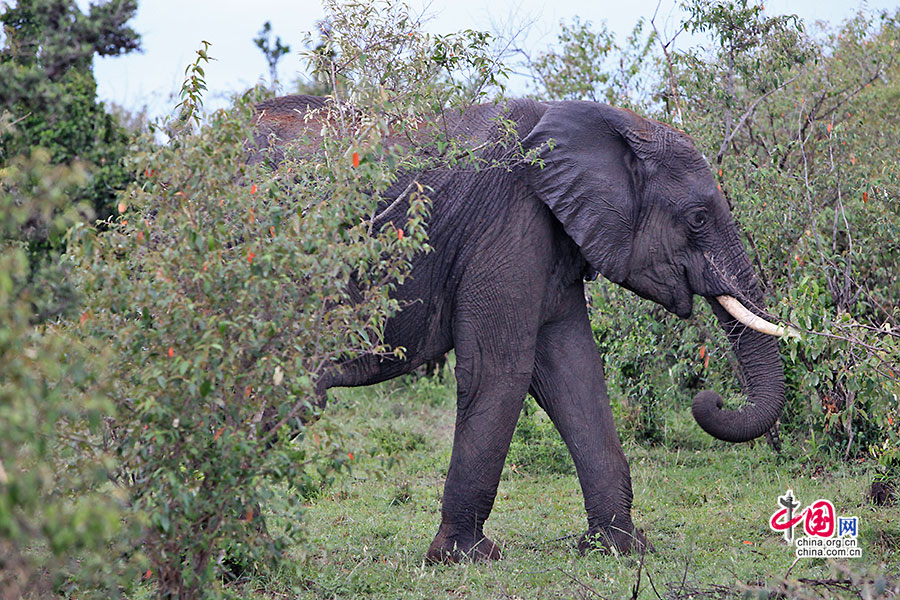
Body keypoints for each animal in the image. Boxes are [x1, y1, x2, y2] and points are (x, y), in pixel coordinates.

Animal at [251, 94, 788, 564]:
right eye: (696, 218)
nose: (712, 399)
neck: (600, 122)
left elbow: (574, 371)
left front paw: (619, 549)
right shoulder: (508, 223)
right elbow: (501, 370)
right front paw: (465, 558)